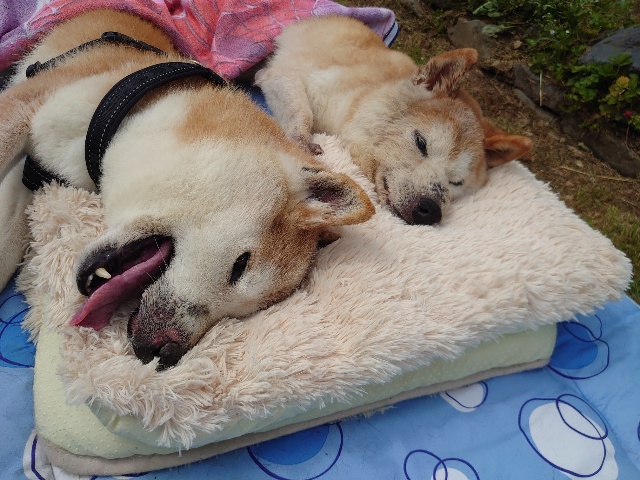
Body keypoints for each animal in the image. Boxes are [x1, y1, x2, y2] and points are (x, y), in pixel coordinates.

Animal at [255, 15, 533, 225]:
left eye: (456, 182)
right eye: (421, 143)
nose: (431, 210)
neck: (363, 95)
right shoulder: (285, 75)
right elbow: (303, 111)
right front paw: (300, 140)